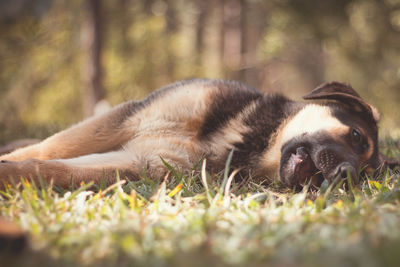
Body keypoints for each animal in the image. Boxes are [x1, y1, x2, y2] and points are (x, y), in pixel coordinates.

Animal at [0, 78, 396, 189]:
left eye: (365, 176)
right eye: (357, 136)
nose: (345, 175)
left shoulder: (141, 163)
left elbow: (55, 168)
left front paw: (12, 174)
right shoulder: (124, 117)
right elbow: (48, 149)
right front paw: (9, 164)